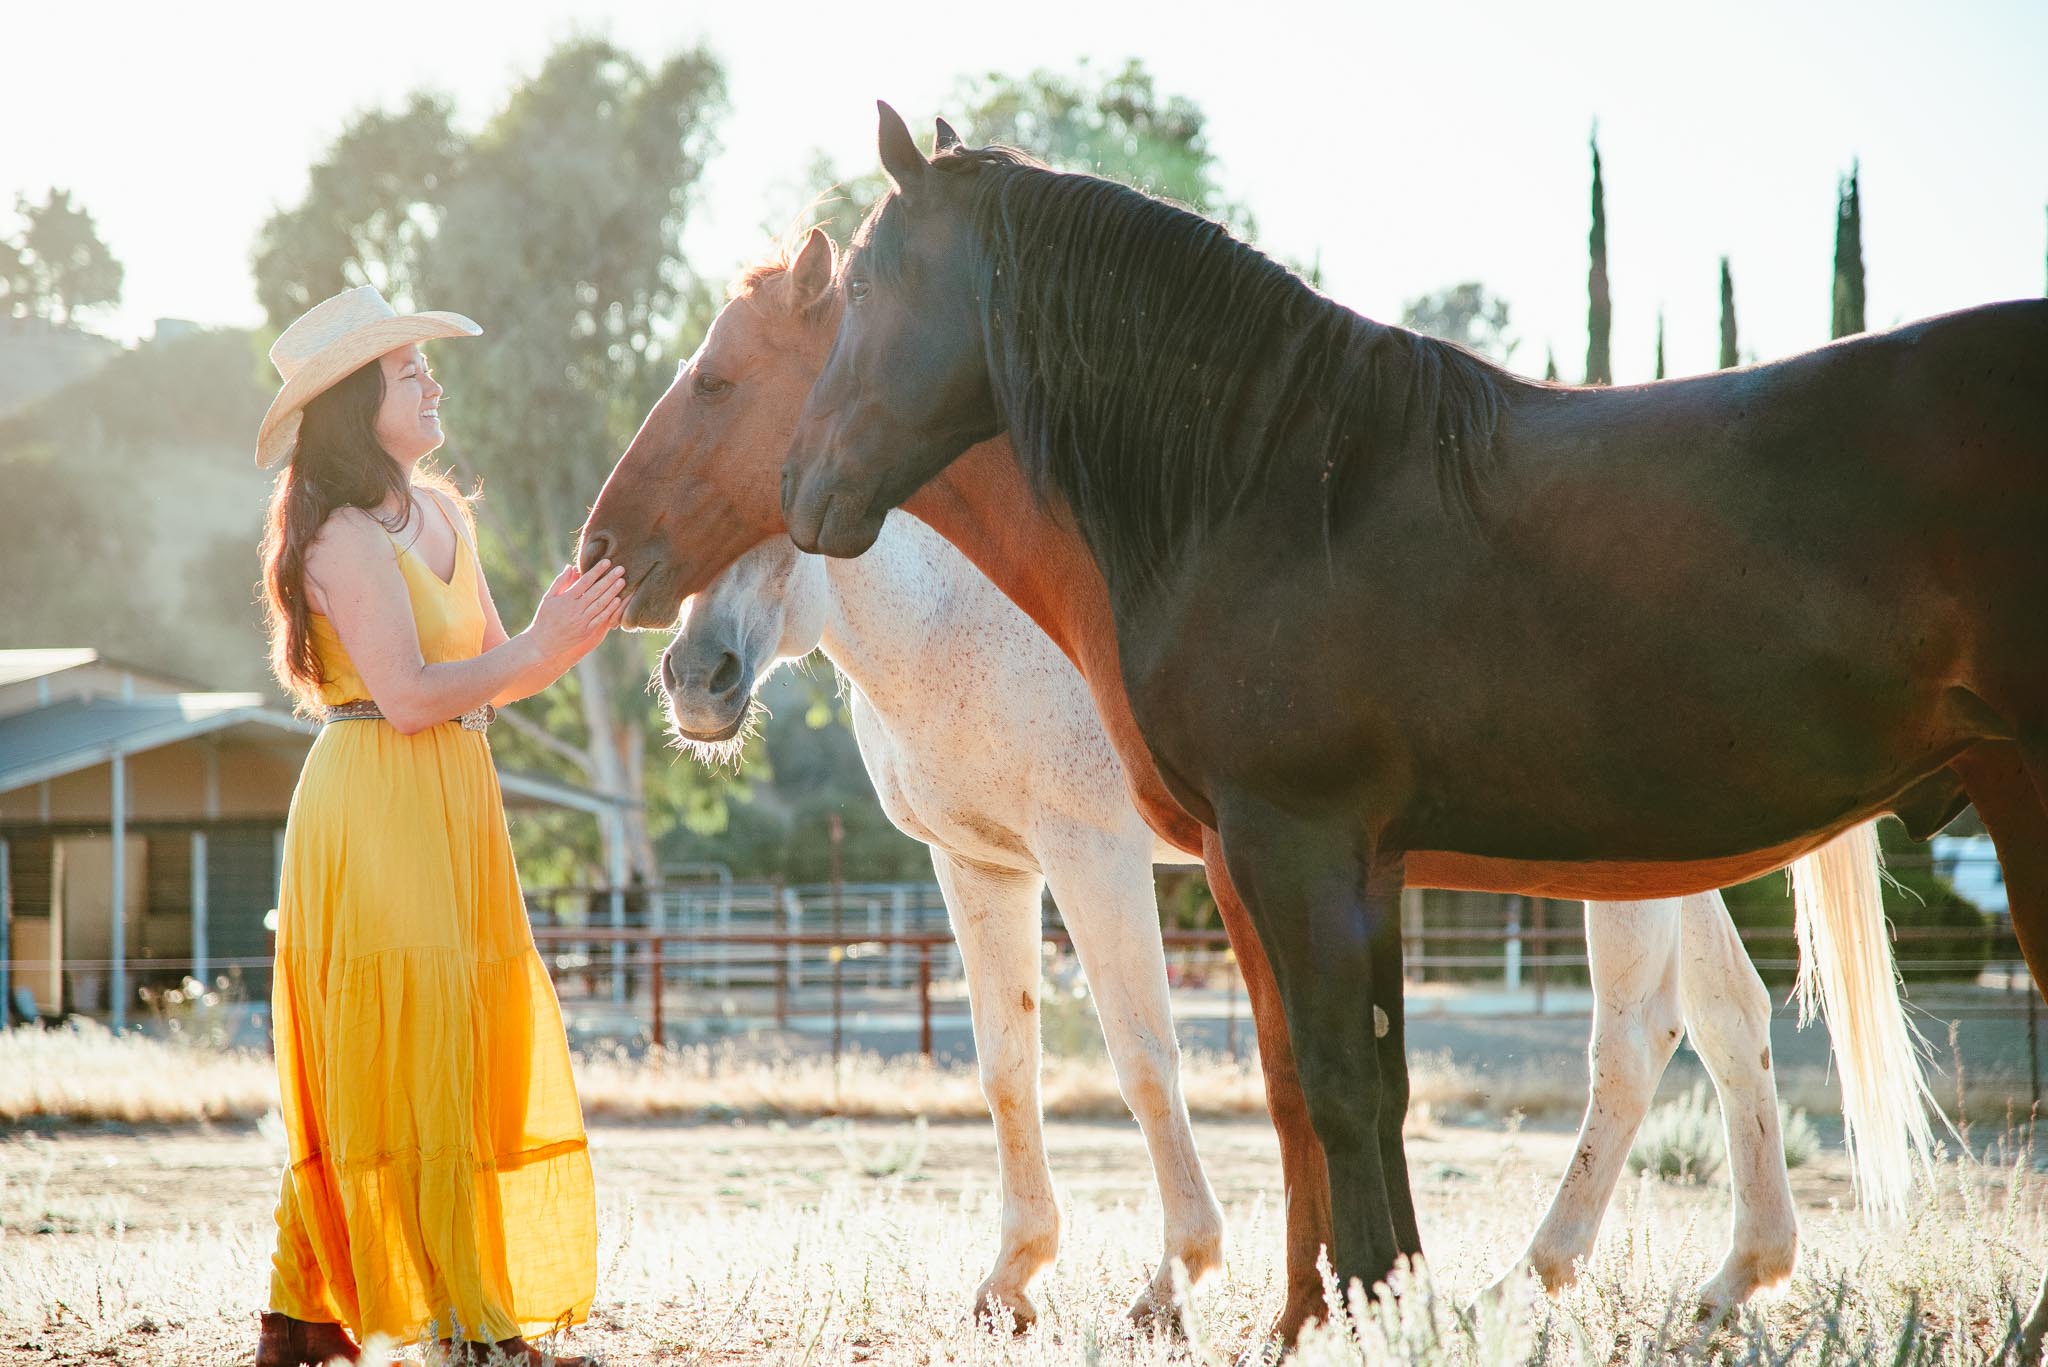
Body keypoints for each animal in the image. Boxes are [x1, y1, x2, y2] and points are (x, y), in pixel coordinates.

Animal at [773, 105, 2043, 1321]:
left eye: (867, 289)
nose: (797, 489)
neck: (1277, 488)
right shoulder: (1355, 866)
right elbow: (1369, 1088)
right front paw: (1379, 1297)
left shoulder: (1288, 844)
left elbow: (1332, 1085)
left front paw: (1340, 1307)